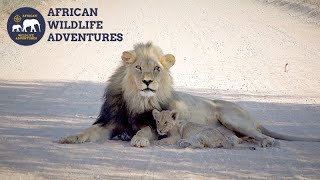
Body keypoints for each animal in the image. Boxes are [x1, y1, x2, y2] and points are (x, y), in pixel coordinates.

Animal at [59, 42, 320, 148]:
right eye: (138, 68)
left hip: (231, 117)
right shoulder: (110, 122)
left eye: (157, 69)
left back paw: (267, 142)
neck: (136, 100)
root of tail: (252, 117)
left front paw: (139, 140)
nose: (147, 81)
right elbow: (89, 131)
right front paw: (70, 137)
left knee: (263, 136)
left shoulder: (154, 124)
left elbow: (144, 131)